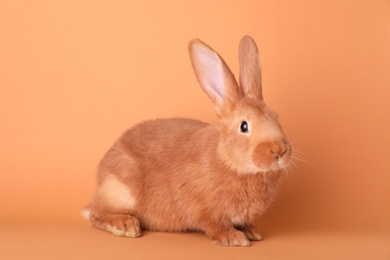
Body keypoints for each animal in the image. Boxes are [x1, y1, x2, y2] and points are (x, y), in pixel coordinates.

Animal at [84, 36, 292, 246]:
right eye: (244, 126)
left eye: (276, 117)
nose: (279, 151)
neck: (228, 161)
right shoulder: (202, 208)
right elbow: (214, 225)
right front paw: (232, 238)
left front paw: (251, 232)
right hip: (121, 190)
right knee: (96, 213)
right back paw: (125, 226)